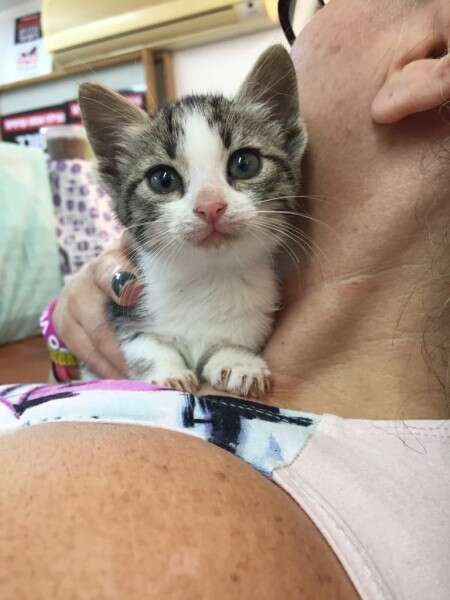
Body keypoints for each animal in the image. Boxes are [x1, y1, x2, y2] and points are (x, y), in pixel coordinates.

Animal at [78, 44, 307, 398]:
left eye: (245, 164)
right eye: (162, 179)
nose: (210, 206)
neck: (206, 278)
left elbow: (235, 341)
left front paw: (238, 361)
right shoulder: (122, 307)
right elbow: (143, 342)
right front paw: (166, 371)